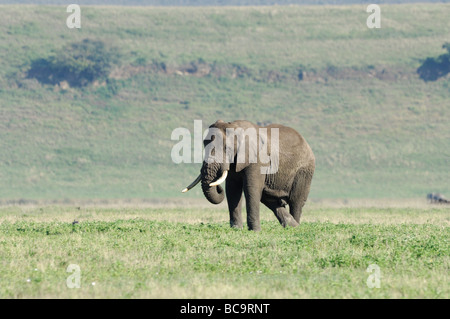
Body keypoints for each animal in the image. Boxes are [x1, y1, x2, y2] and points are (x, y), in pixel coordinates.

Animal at [181, 119, 314, 231]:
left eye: (227, 148)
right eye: (204, 145)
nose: (217, 186)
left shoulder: (257, 160)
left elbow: (251, 188)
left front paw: (255, 231)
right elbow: (232, 189)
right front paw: (236, 229)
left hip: (304, 171)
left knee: (296, 201)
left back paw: (296, 228)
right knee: (270, 200)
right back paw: (292, 226)